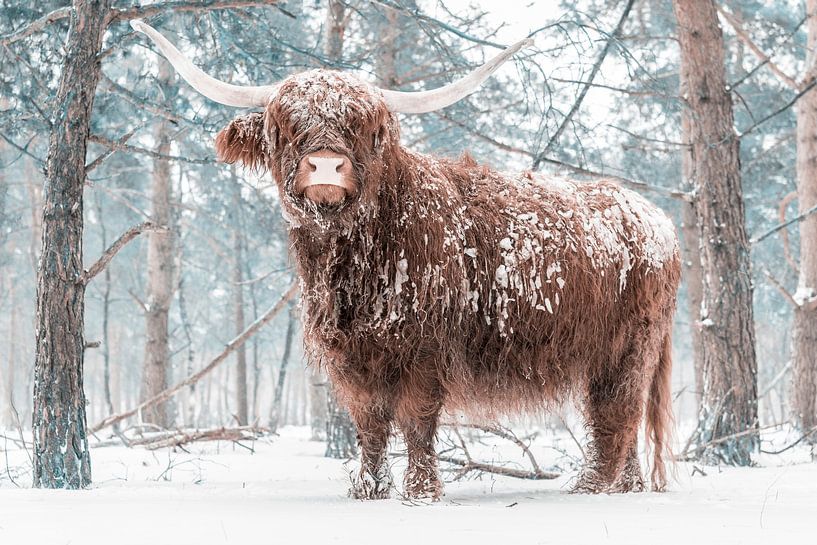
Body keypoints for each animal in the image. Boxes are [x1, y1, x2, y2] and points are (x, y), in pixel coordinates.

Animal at [134, 20, 680, 498]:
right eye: (285, 126)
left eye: (365, 128)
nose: (326, 165)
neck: (353, 267)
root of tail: (654, 215)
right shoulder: (352, 356)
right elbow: (370, 423)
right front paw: (368, 489)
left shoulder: (426, 347)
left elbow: (416, 419)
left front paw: (420, 492)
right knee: (624, 421)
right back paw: (625, 487)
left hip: (627, 347)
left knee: (615, 415)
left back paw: (590, 486)